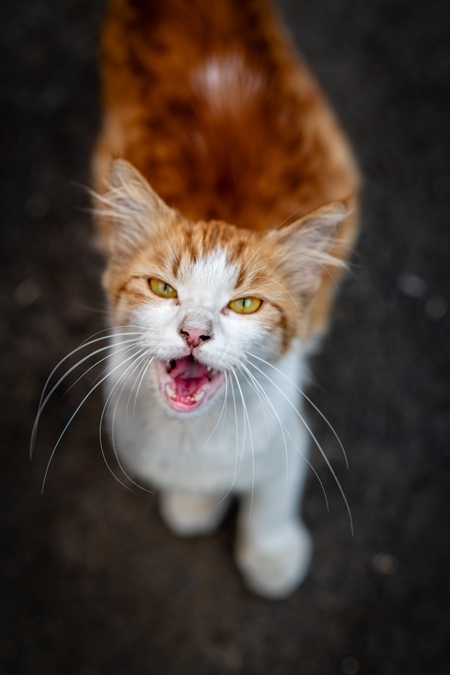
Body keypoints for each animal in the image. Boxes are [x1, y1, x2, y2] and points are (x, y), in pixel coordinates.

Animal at [86, 0, 358, 600]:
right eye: (163, 288)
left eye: (246, 305)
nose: (195, 331)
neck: (194, 434)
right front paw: (196, 501)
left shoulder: (285, 419)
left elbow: (275, 487)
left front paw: (271, 552)